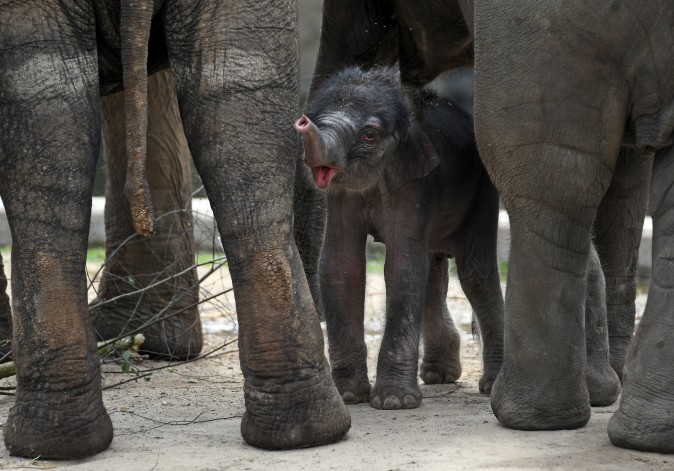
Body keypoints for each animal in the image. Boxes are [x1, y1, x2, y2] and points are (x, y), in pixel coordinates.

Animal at [295, 66, 504, 409]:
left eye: (369, 135)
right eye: (314, 117)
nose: (302, 123)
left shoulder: (417, 184)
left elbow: (402, 265)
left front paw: (395, 402)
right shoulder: (341, 196)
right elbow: (341, 265)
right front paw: (348, 396)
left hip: (482, 189)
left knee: (475, 271)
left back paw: (491, 384)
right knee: (433, 271)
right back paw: (438, 375)